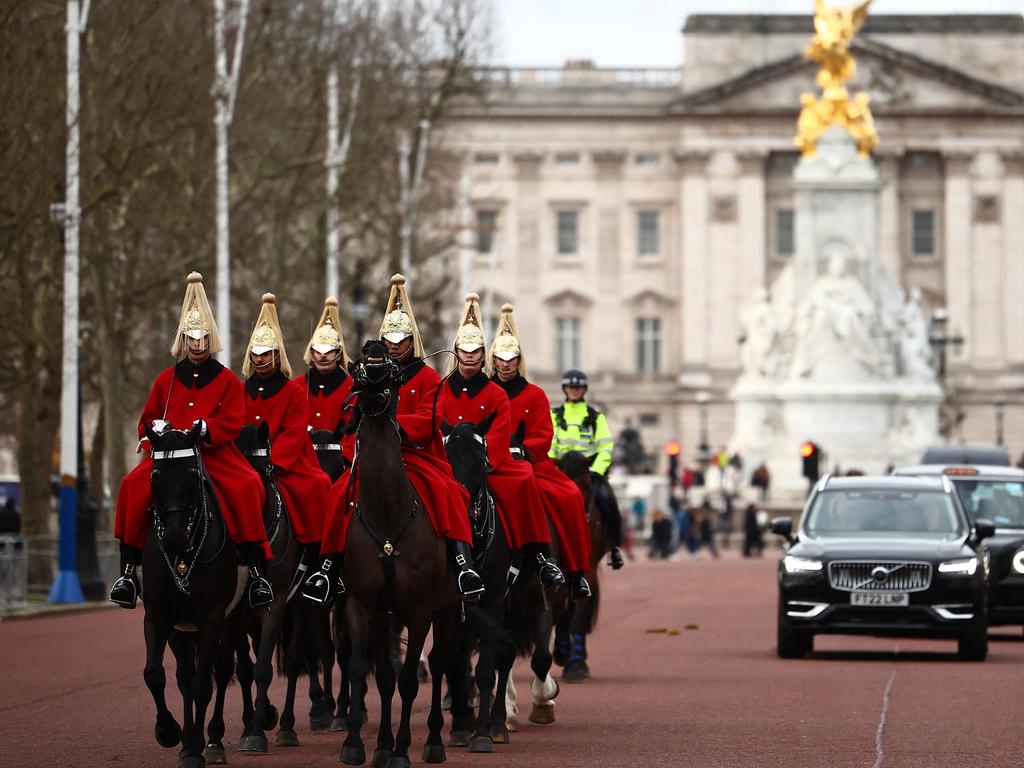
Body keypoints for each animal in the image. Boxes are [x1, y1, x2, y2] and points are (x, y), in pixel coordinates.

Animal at [139, 428, 240, 768]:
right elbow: (155, 675)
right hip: (183, 631)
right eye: (155, 475)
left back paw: (214, 739)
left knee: (220, 673)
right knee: (184, 676)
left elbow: (202, 687)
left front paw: (195, 744)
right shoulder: (159, 616)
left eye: (193, 474)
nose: (172, 538)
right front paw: (170, 732)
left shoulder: (213, 617)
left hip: (232, 621)